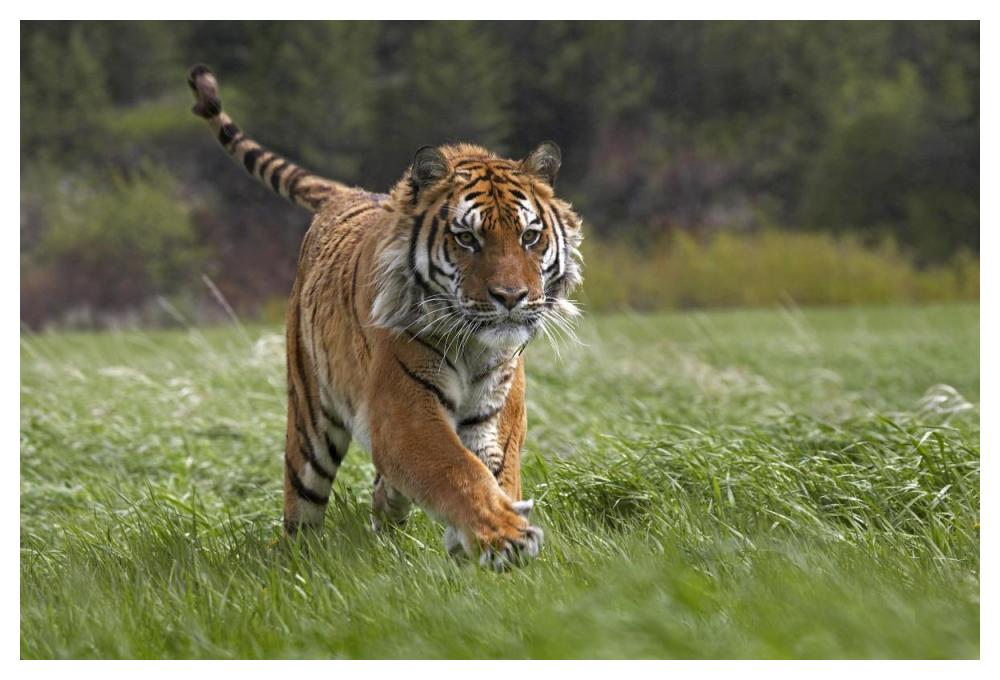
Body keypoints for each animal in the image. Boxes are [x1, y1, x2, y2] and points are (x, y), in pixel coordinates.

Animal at [187, 64, 583, 570]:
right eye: (467, 238)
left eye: (530, 236)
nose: (511, 297)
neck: (474, 346)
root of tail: (348, 193)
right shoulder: (403, 411)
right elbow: (458, 470)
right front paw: (504, 536)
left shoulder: (498, 413)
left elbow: (494, 473)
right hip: (309, 420)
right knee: (302, 506)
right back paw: (297, 560)